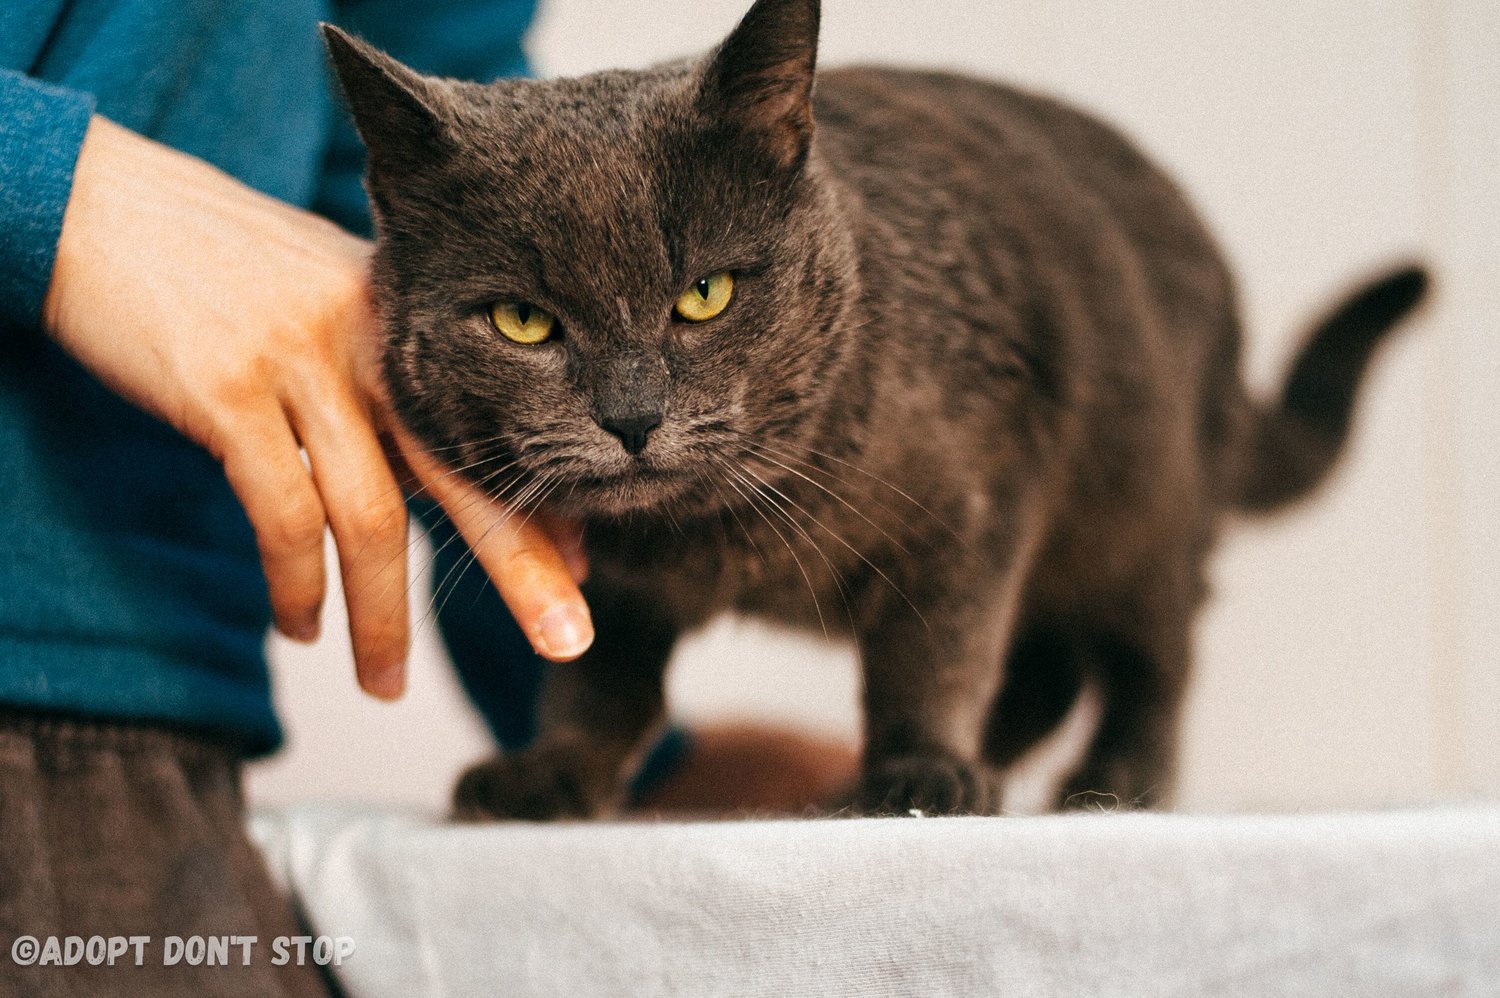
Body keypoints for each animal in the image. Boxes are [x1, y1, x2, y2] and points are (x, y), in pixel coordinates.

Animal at [322, 0, 1422, 816]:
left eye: (705, 295)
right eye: (522, 321)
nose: (631, 418)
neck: (720, 536)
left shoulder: (978, 497)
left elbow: (932, 645)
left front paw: (918, 768)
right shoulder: (621, 585)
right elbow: (600, 678)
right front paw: (555, 770)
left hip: (1145, 503)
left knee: (1155, 647)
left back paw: (1109, 780)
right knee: (1053, 663)